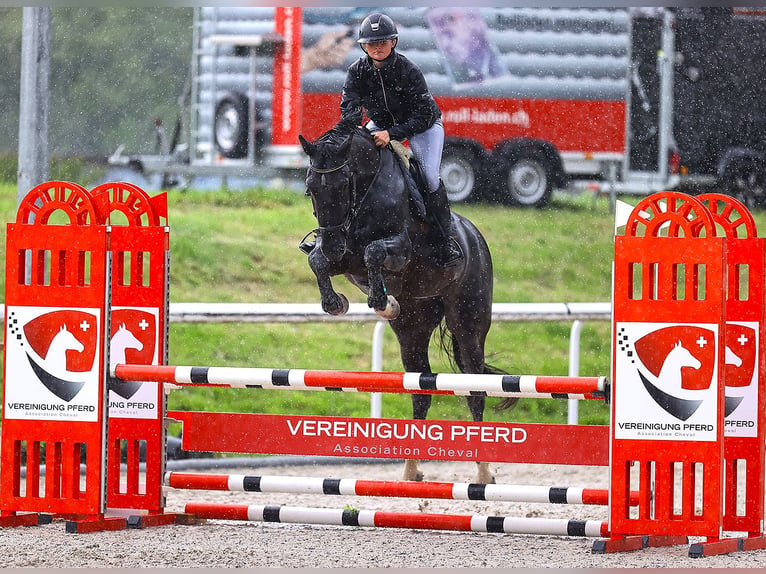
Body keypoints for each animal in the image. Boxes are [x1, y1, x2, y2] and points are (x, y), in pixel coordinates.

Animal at [300, 127, 516, 486]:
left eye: (343, 184)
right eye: (310, 188)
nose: (331, 244)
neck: (368, 190)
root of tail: (475, 236)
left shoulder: (399, 249)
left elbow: (374, 252)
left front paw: (382, 301)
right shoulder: (344, 256)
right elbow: (318, 260)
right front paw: (336, 302)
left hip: (468, 324)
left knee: (475, 390)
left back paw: (484, 473)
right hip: (413, 330)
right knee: (421, 390)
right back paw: (410, 470)